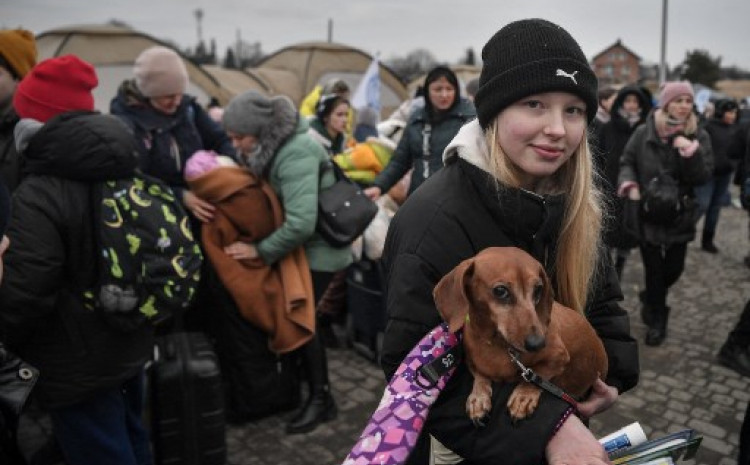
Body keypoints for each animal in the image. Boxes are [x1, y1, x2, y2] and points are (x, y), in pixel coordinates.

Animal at [434, 246, 612, 424]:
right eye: (500, 290)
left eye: (538, 289)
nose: (538, 343)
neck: (498, 345)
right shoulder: (471, 362)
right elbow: (480, 376)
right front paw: (478, 397)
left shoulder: (559, 357)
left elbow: (538, 375)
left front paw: (523, 396)